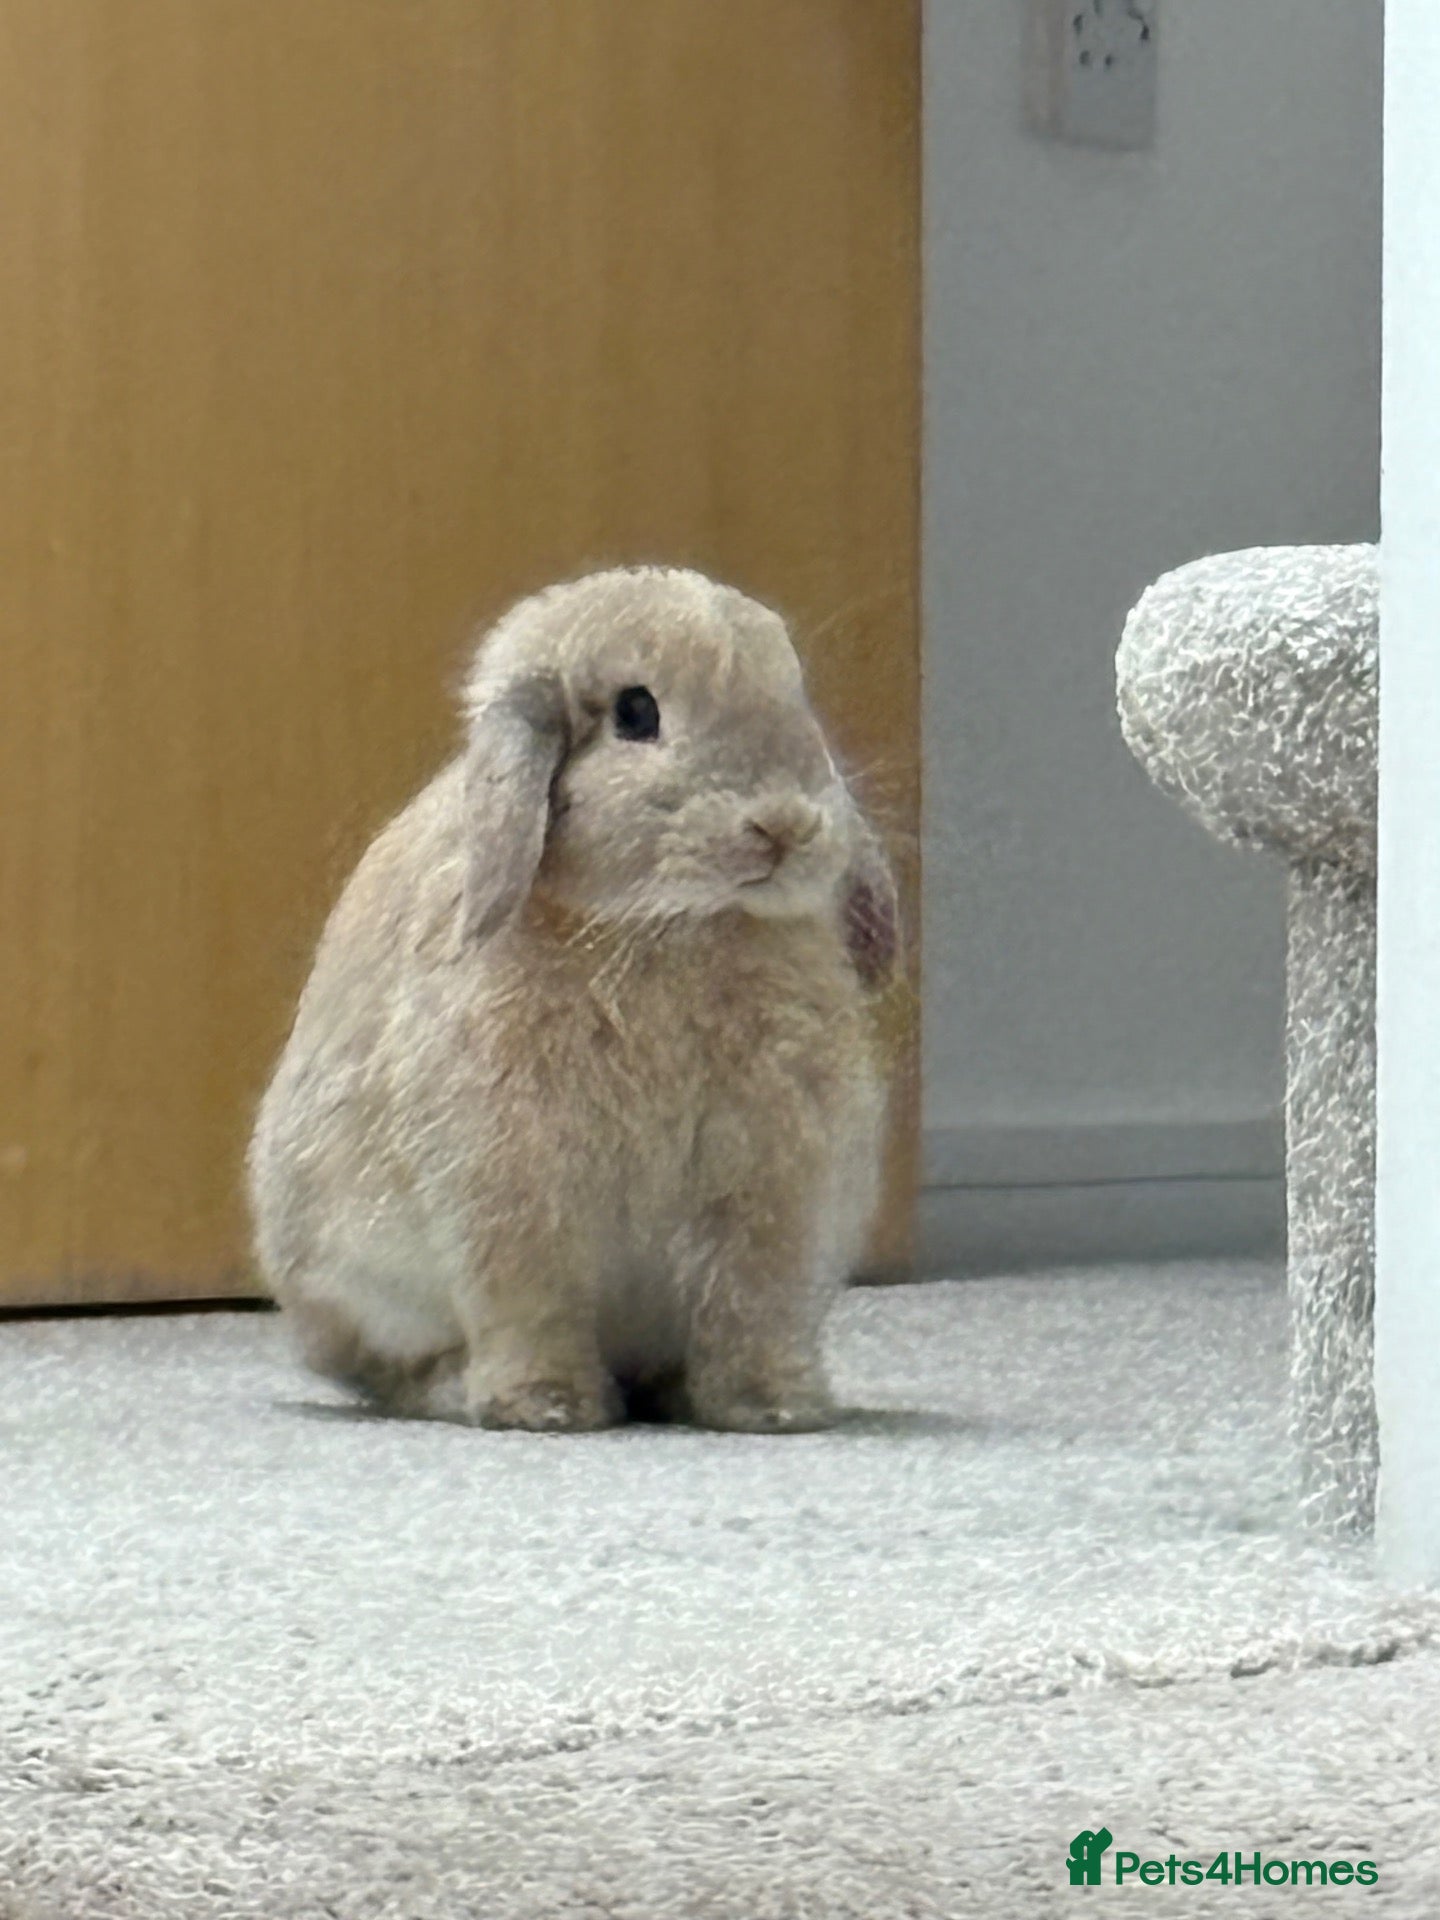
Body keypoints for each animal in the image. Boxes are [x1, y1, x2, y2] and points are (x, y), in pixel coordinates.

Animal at [247, 566, 900, 1433]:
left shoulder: (776, 1192)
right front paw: (549, 1407)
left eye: (795, 692)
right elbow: (532, 1304)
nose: (786, 824)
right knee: (391, 1370)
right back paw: (465, 1391)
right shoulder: (512, 1192)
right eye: (635, 713)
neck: (667, 924)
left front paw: (775, 1407)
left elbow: (752, 1304)